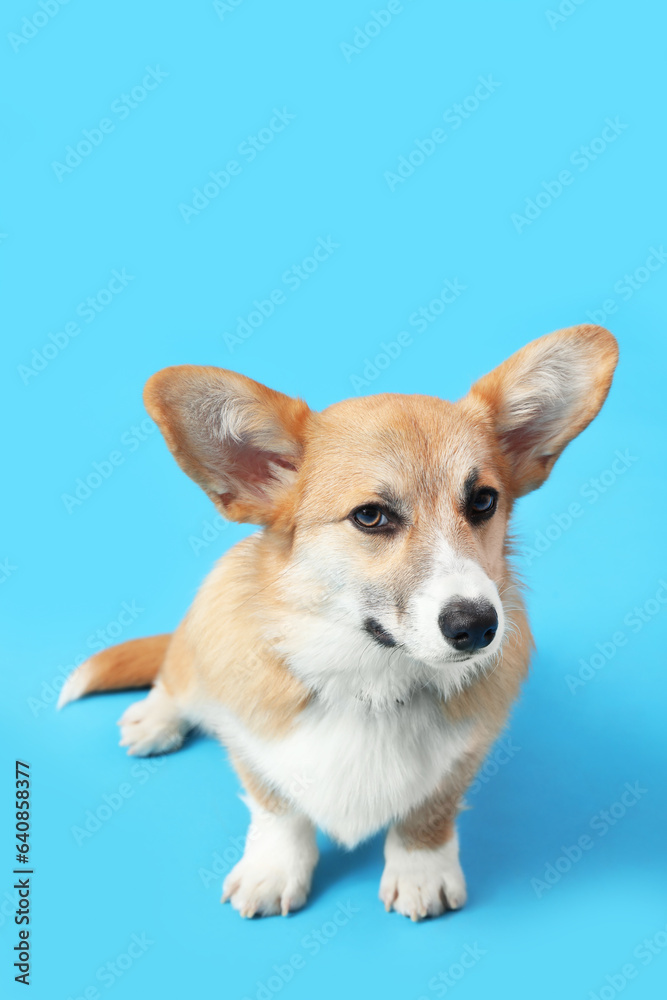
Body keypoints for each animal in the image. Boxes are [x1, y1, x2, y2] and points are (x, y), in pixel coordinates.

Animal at [60, 324, 620, 916]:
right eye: (370, 516)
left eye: (484, 502)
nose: (479, 627)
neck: (369, 680)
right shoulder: (253, 748)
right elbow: (276, 808)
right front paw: (274, 869)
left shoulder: (464, 756)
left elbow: (429, 813)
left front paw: (421, 871)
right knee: (177, 671)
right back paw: (156, 717)